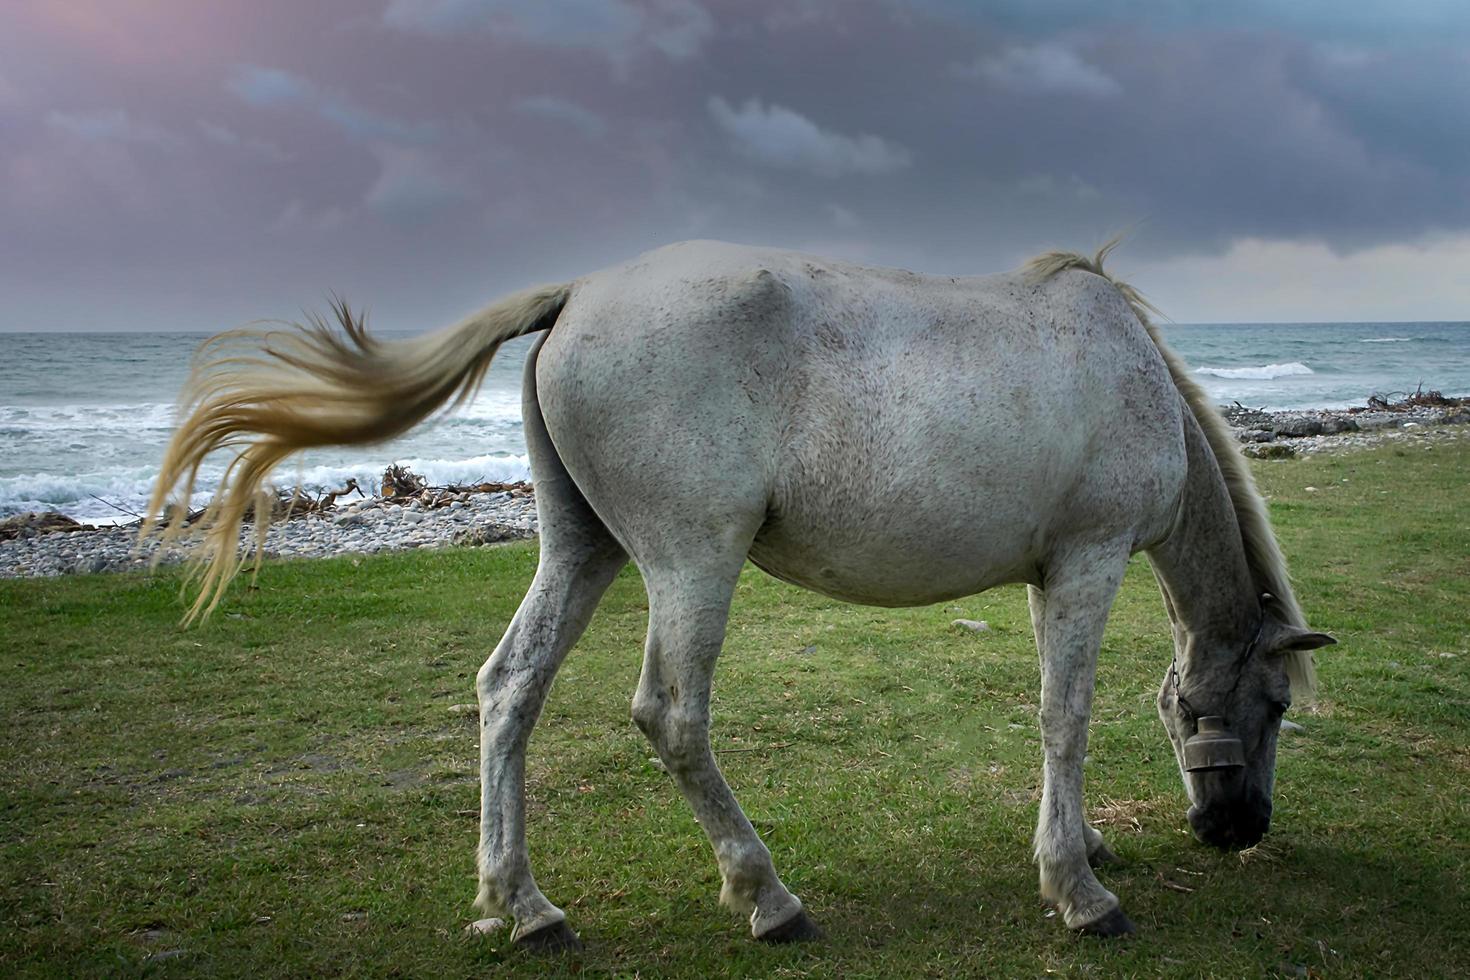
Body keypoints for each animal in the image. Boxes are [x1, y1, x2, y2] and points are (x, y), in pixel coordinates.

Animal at [149, 239, 1334, 952]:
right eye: (1275, 706)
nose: (1239, 828)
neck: (1131, 372)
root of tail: (578, 293)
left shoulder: (1056, 576)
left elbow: (1059, 717)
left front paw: (1082, 845)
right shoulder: (1086, 563)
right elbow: (1065, 717)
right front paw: (1078, 888)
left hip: (580, 550)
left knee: (508, 689)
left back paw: (522, 905)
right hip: (691, 562)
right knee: (671, 715)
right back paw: (767, 896)